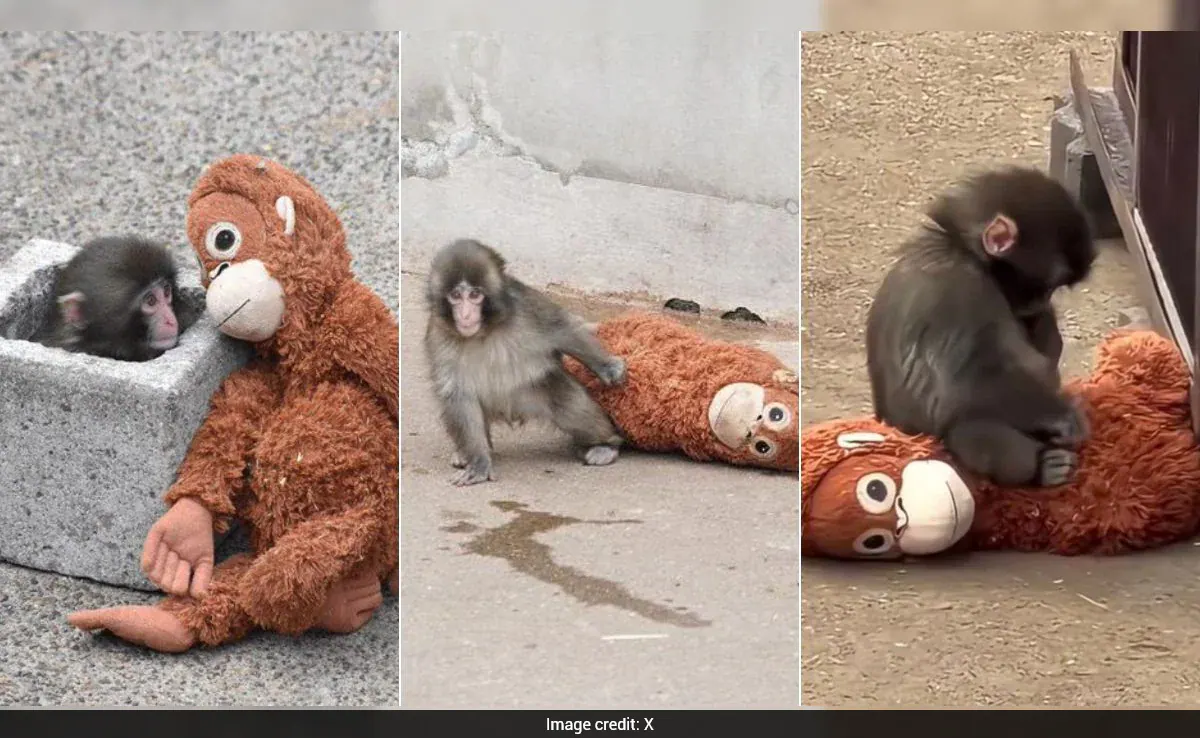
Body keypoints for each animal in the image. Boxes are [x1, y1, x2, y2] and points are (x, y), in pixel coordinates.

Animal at [424, 238, 628, 487]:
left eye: (474, 295)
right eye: (455, 295)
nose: (464, 315)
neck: (483, 332)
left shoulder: (527, 309)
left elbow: (563, 330)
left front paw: (607, 367)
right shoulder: (438, 337)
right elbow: (458, 395)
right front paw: (479, 463)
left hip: (530, 393)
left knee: (568, 404)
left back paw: (605, 445)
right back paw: (467, 453)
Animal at [865, 166, 1097, 489]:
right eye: (1049, 284)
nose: (1042, 302)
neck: (961, 248)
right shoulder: (961, 290)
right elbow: (968, 386)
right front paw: (1063, 415)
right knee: (970, 424)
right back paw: (1041, 467)